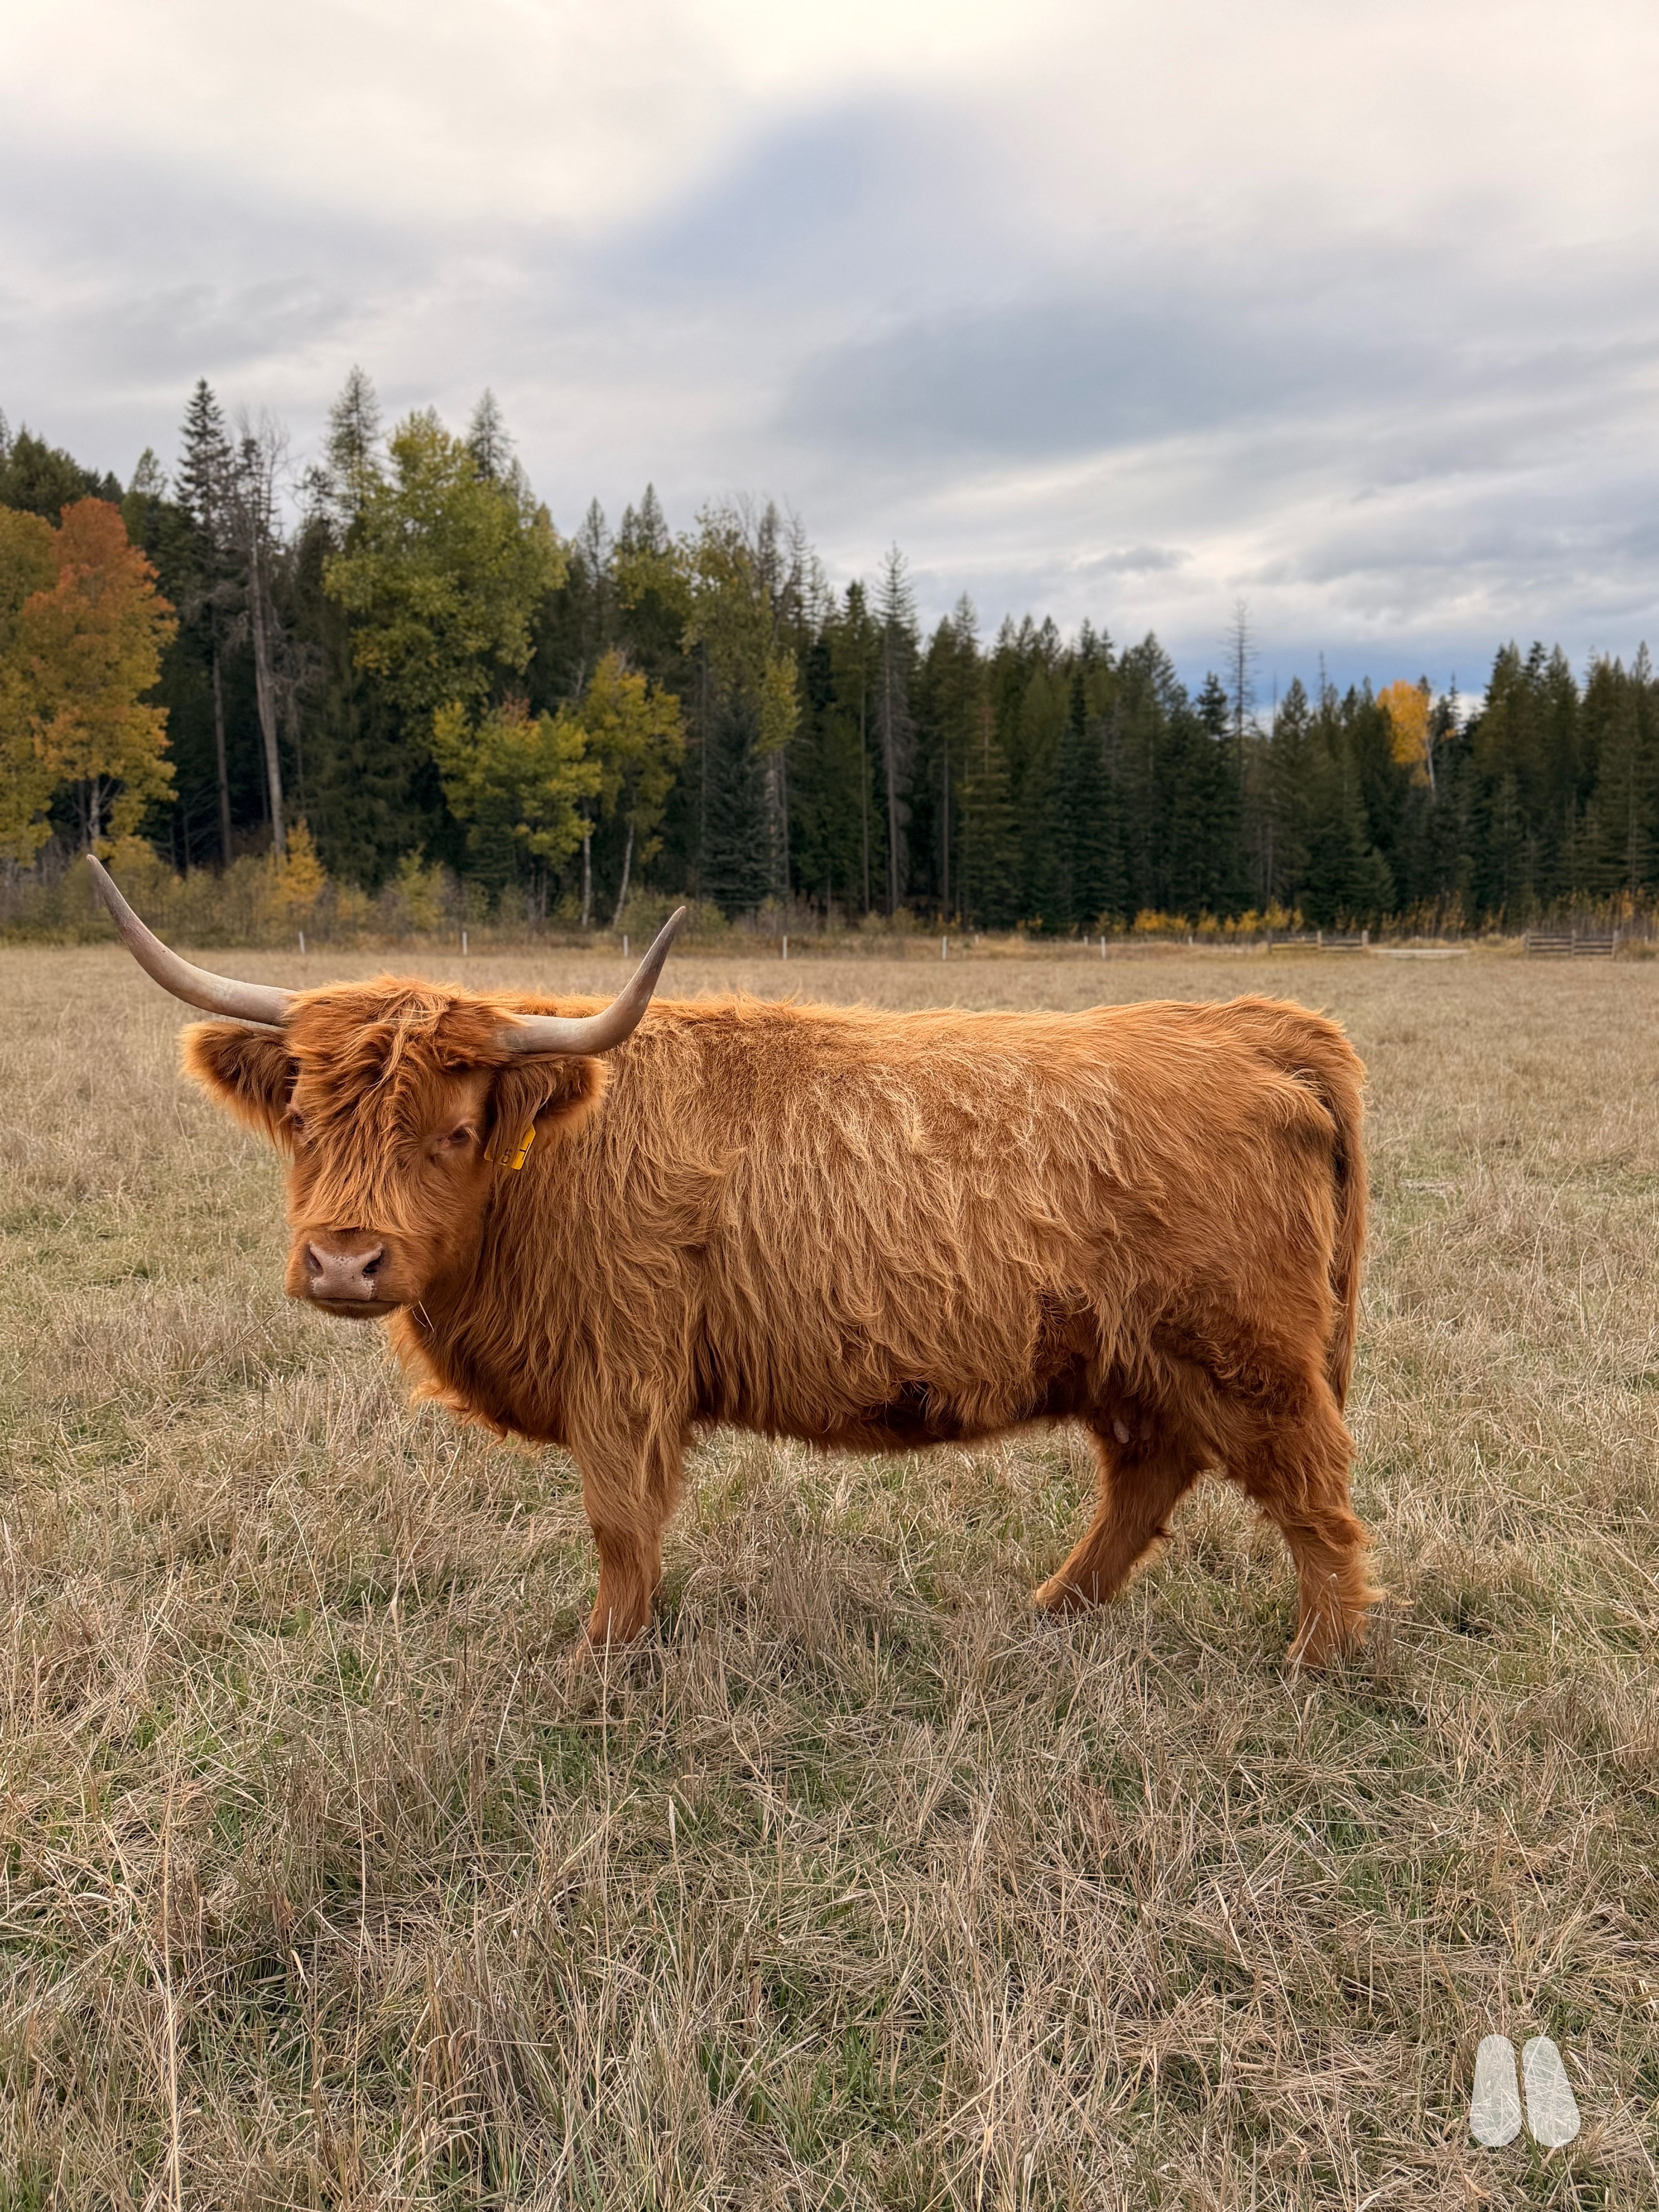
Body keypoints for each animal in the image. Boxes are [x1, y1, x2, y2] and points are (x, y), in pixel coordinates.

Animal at [88, 855, 1379, 1666]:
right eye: (304, 1120)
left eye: (453, 1132)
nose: (345, 1262)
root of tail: (1256, 1025)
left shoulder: (622, 1373)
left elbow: (618, 1525)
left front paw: (597, 1661)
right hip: (1135, 1360)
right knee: (1150, 1476)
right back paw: (1055, 1608)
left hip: (1248, 1352)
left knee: (1314, 1492)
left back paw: (1315, 1656)